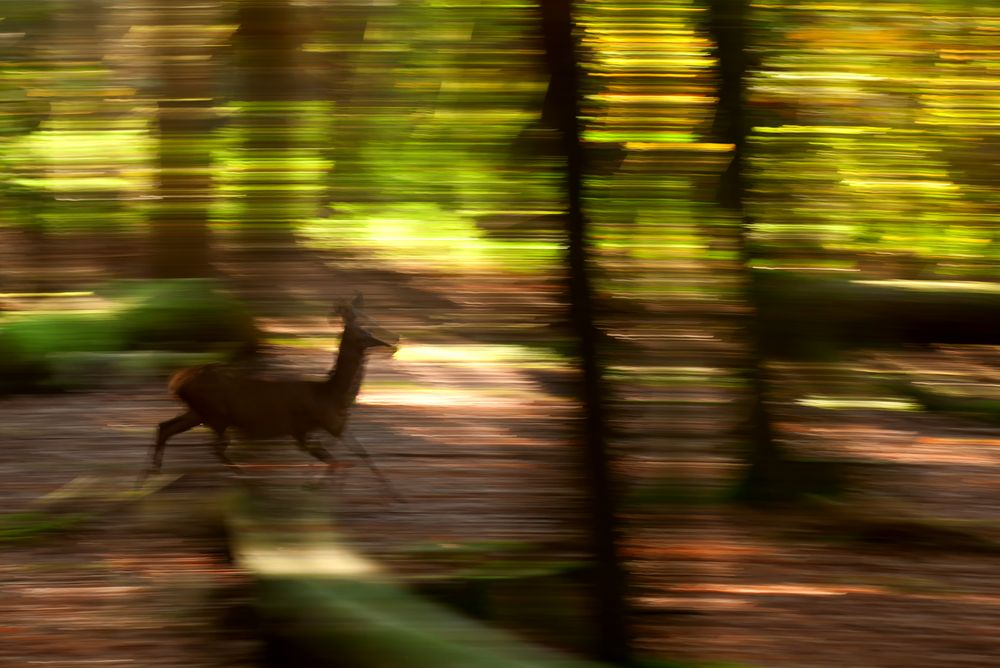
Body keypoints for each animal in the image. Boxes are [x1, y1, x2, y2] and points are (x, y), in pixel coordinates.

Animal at [143, 294, 400, 499]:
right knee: (214, 446)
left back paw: (150, 477)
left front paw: (393, 494)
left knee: (165, 426)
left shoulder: (329, 426)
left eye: (371, 325)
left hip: (198, 412)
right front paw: (322, 488)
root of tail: (176, 382)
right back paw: (246, 479)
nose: (395, 340)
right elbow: (340, 460)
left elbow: (357, 454)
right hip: (216, 414)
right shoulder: (309, 428)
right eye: (365, 330)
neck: (331, 394)